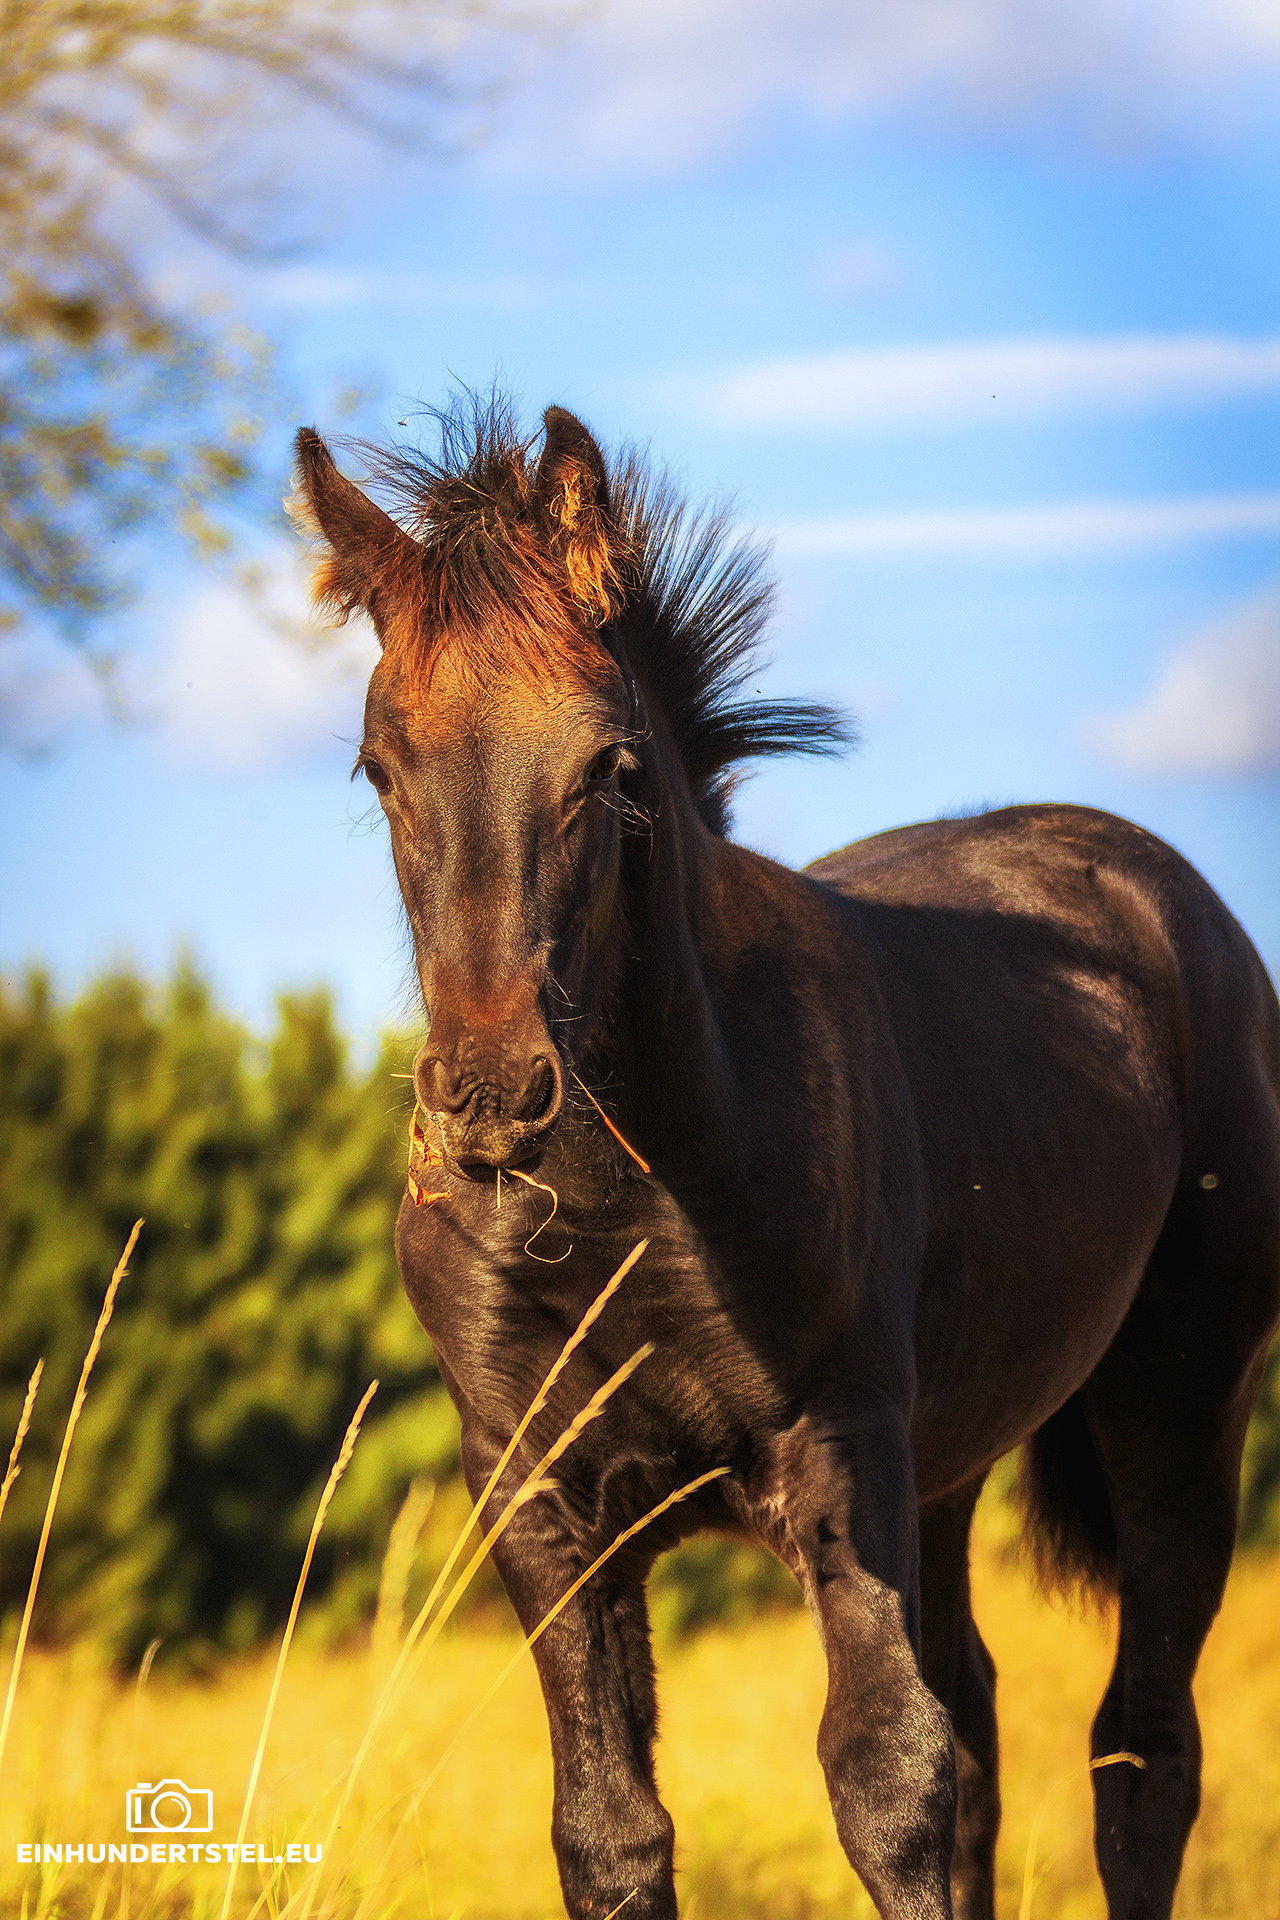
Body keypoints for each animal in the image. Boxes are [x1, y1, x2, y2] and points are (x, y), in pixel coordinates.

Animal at [290, 398, 1280, 1920]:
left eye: (606, 769)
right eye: (376, 769)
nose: (488, 1100)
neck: (623, 1203)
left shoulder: (837, 1448)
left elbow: (887, 1783)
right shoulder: (537, 1498)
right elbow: (612, 1830)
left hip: (1177, 1407)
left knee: (1140, 1753)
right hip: (947, 1466)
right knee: (986, 1720)